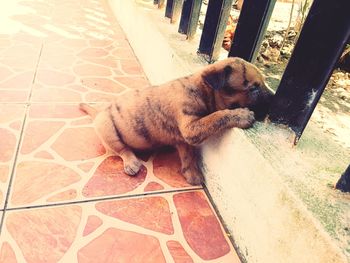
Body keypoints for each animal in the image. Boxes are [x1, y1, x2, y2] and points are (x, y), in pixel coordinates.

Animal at [80, 57, 274, 186]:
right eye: (254, 88)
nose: (274, 101)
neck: (200, 88)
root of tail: (99, 112)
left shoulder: (185, 136)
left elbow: (188, 154)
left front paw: (191, 174)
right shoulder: (191, 128)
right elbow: (218, 116)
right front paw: (242, 115)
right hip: (107, 128)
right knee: (121, 149)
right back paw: (131, 162)